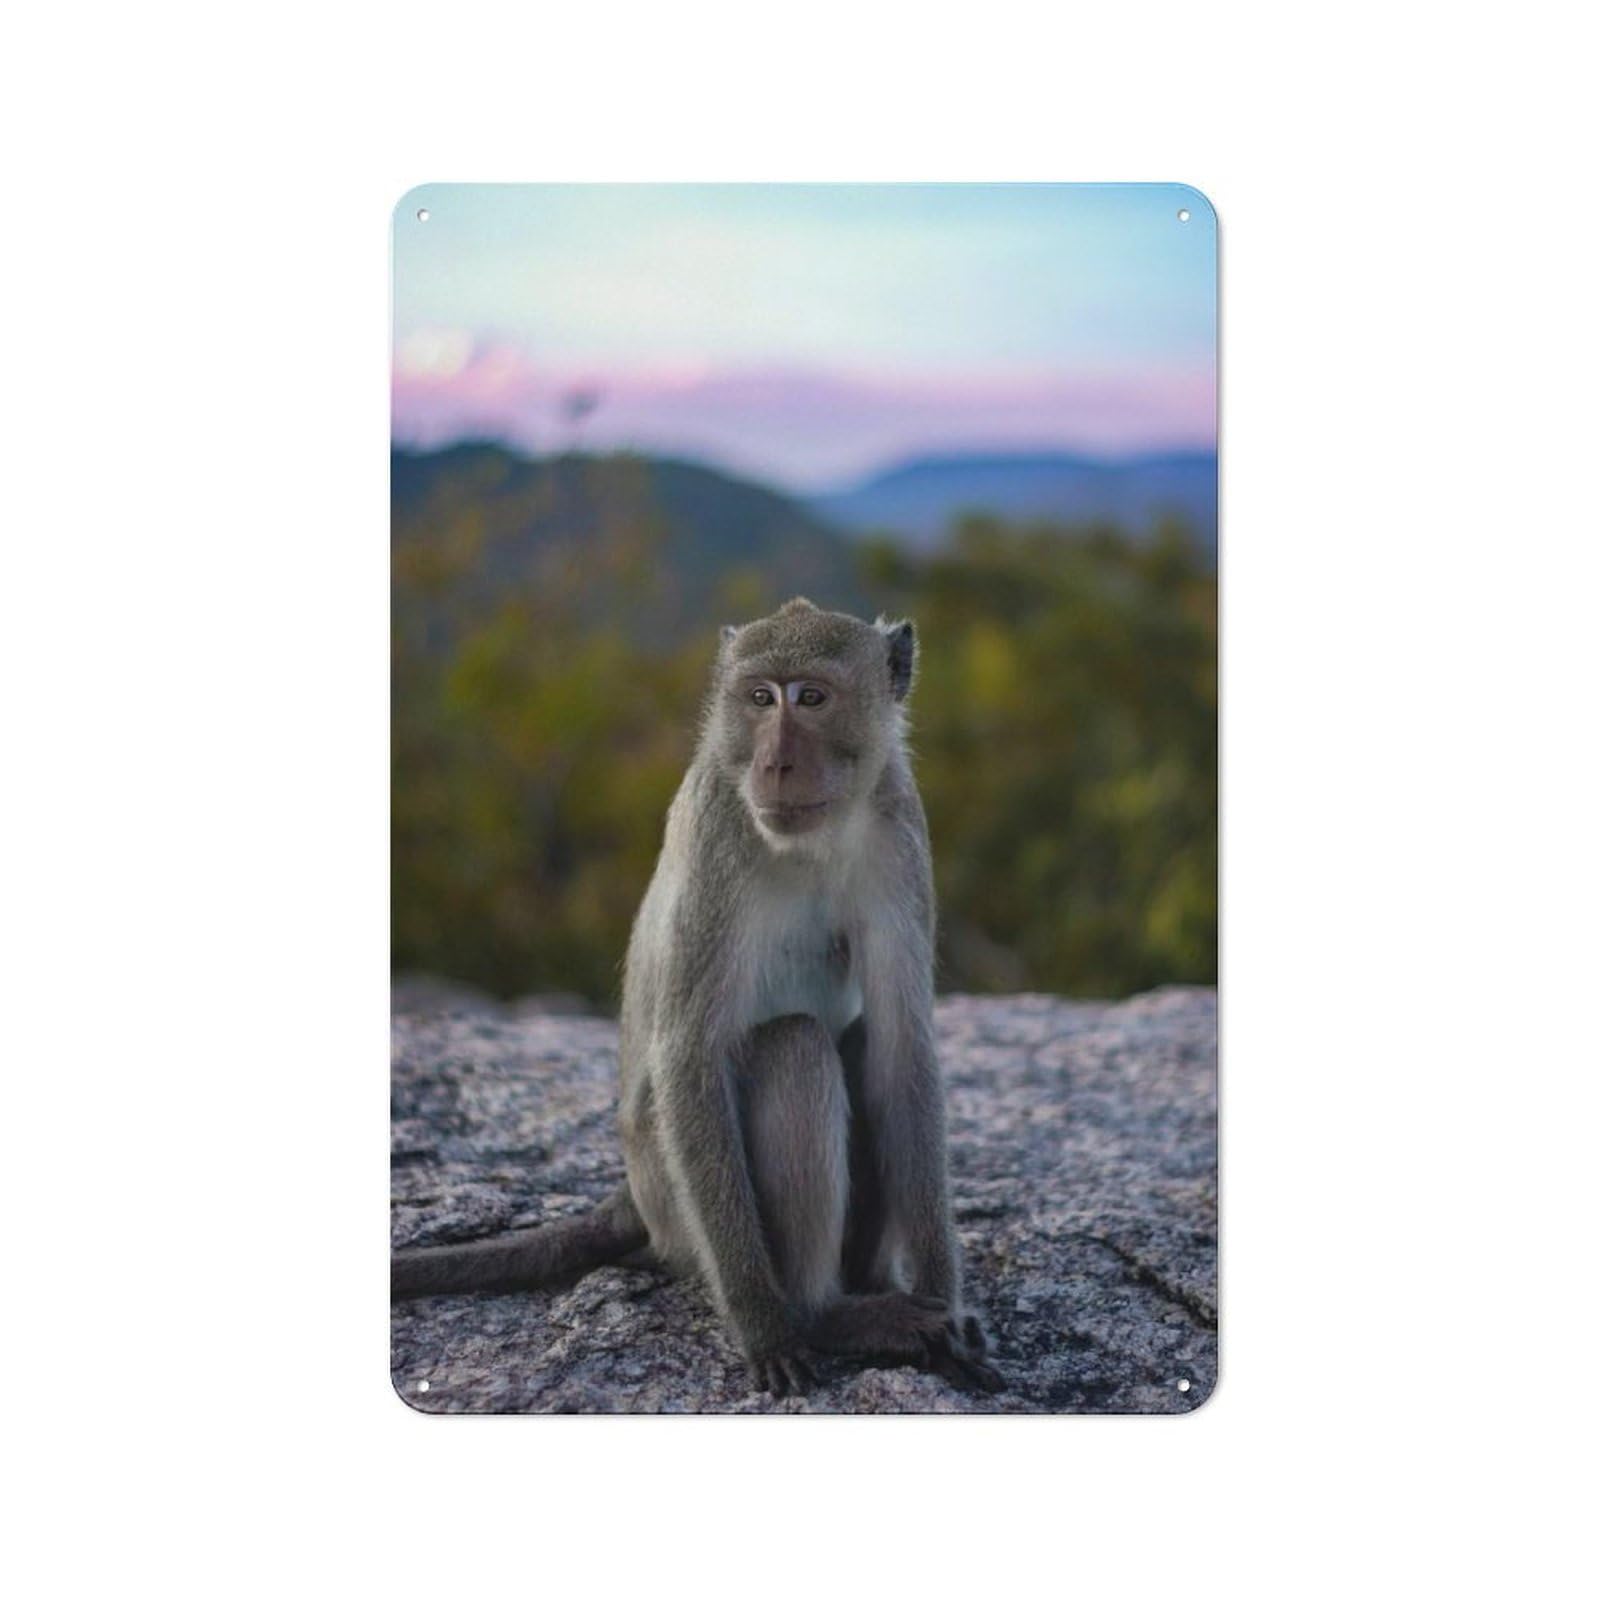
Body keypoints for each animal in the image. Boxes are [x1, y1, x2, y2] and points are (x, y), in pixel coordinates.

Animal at [393, 598, 1000, 1397]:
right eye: (760, 698)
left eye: (811, 697)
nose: (774, 763)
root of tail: (635, 1195)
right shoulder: (720, 828)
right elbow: (688, 1055)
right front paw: (765, 1326)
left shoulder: (899, 824)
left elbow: (902, 1046)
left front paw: (946, 1307)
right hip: (675, 1198)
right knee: (794, 1047)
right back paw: (824, 1316)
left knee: (860, 1041)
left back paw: (870, 1290)